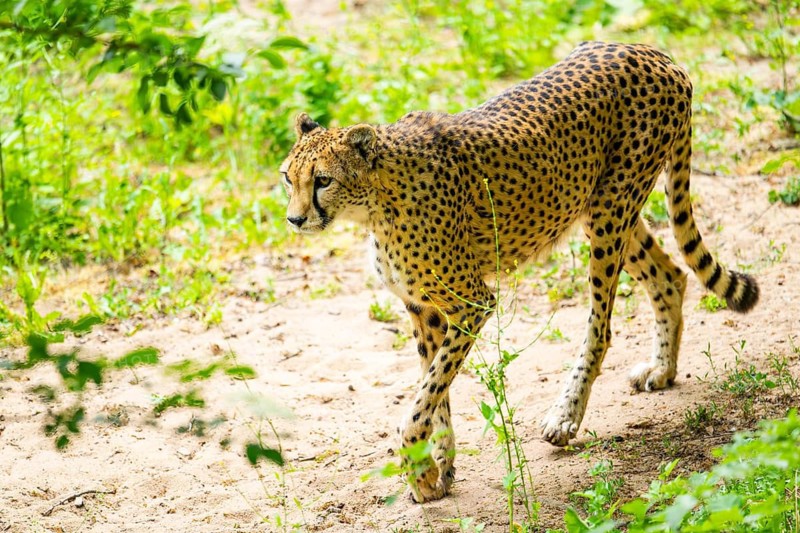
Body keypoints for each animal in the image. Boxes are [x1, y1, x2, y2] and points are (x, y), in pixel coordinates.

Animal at [278, 41, 759, 503]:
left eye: (322, 180)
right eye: (287, 177)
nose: (295, 220)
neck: (377, 201)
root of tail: (654, 53)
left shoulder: (472, 303)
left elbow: (425, 395)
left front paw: (419, 465)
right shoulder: (423, 310)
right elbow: (435, 391)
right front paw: (437, 469)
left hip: (611, 210)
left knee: (601, 326)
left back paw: (565, 416)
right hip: (601, 206)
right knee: (669, 276)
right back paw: (662, 369)